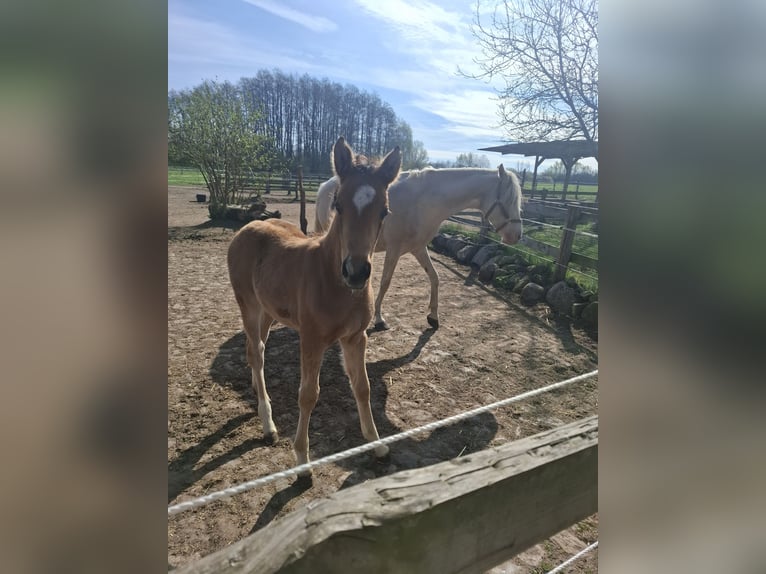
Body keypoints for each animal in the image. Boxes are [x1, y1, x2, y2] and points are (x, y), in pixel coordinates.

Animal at [227, 136, 402, 476]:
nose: (356, 272)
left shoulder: (355, 337)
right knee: (256, 351)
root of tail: (248, 225)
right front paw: (302, 459)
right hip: (248, 304)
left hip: (269, 310)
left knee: (257, 349)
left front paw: (377, 445)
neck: (333, 281)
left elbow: (363, 387)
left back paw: (257, 394)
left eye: (385, 211)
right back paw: (268, 425)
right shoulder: (311, 339)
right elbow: (308, 395)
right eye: (338, 205)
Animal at [315, 165, 523, 330]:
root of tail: (326, 185)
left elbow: (434, 277)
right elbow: (385, 282)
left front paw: (433, 317)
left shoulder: (419, 249)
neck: (423, 201)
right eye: (510, 200)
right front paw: (379, 319)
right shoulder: (394, 250)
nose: (516, 236)